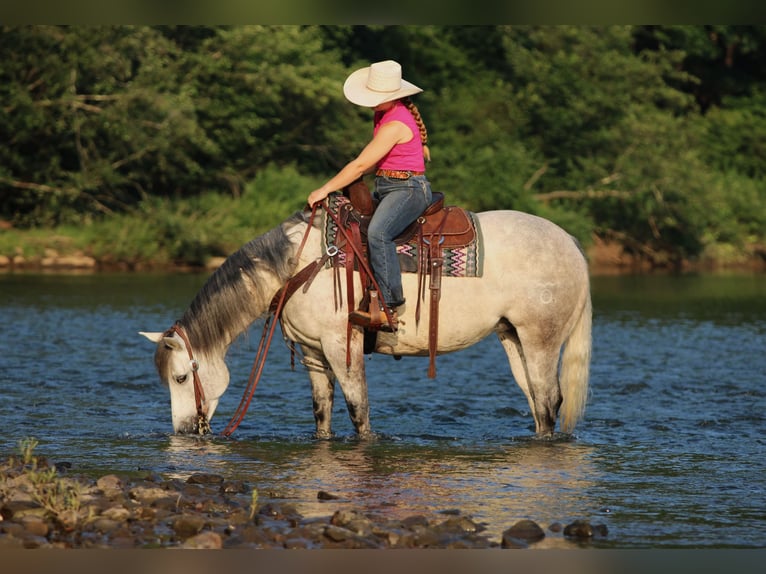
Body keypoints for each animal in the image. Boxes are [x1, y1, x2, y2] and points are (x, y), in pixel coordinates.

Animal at [140, 202, 592, 439]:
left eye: (181, 377)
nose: (184, 430)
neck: (299, 267)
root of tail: (570, 243)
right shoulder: (313, 352)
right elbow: (322, 411)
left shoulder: (343, 344)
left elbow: (359, 409)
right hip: (513, 337)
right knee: (536, 401)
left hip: (541, 340)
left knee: (548, 400)